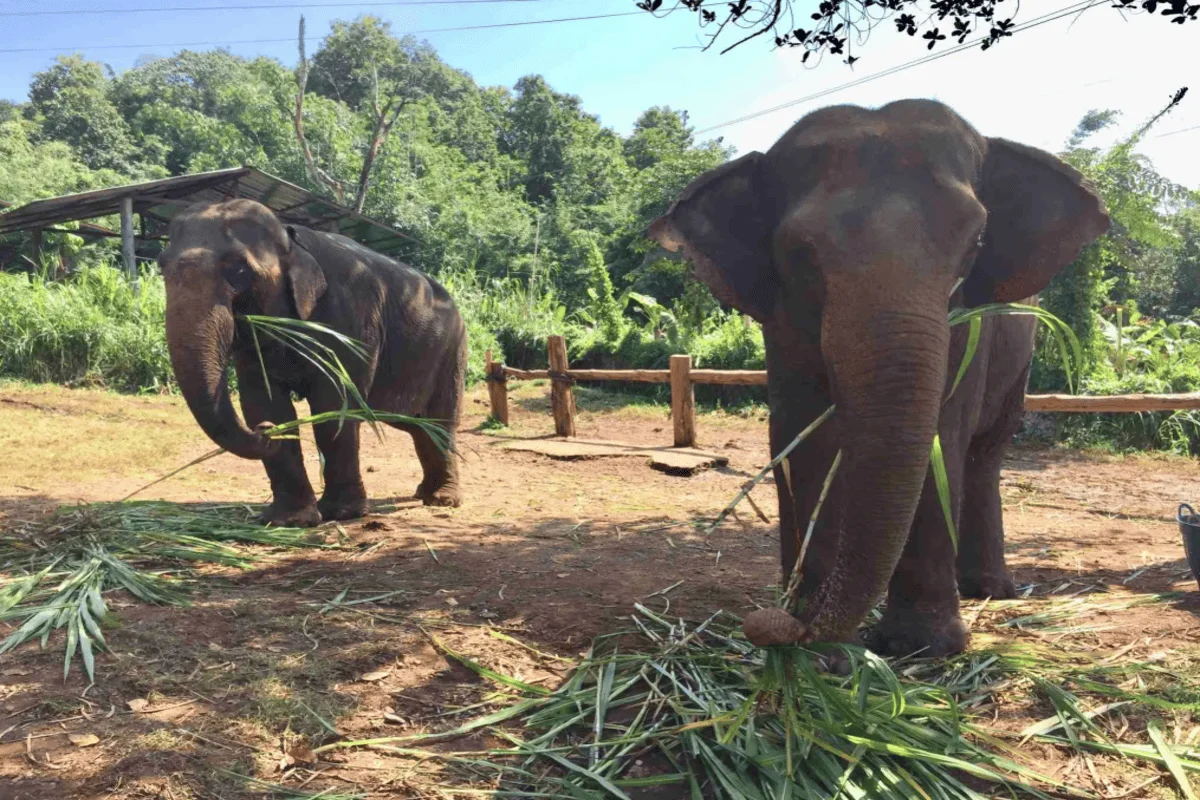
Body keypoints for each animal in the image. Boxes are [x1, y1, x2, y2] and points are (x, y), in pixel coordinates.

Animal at [158, 199, 466, 527]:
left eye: (240, 269)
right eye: (161, 267)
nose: (264, 431)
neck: (292, 240)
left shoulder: (351, 319)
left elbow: (334, 404)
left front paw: (342, 514)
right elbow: (264, 402)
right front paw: (289, 520)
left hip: (453, 352)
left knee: (440, 422)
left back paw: (443, 500)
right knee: (418, 426)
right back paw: (425, 492)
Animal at [648, 99, 1110, 657]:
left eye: (976, 241)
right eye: (799, 251)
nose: (772, 625)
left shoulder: (968, 328)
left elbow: (942, 434)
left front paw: (923, 646)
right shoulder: (781, 323)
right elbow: (801, 433)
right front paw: (823, 650)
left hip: (1020, 355)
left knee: (985, 453)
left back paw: (989, 591)